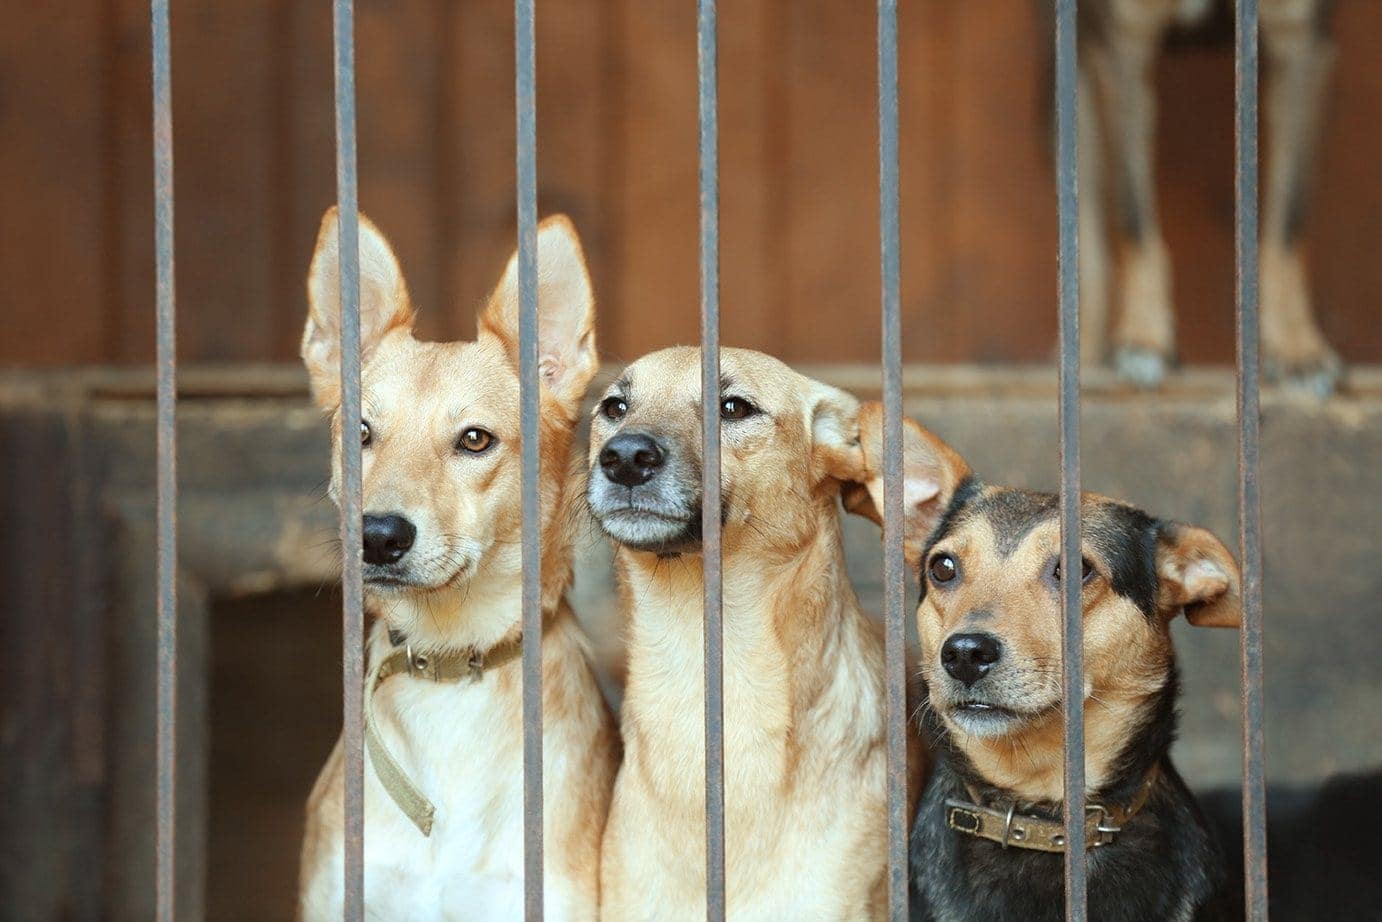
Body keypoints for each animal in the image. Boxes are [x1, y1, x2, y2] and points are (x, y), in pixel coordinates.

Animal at [1066, 0, 1337, 392]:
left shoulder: (1303, 41)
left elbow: (1289, 222)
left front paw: (1295, 346)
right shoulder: (1122, 44)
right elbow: (1133, 217)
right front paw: (1145, 337)